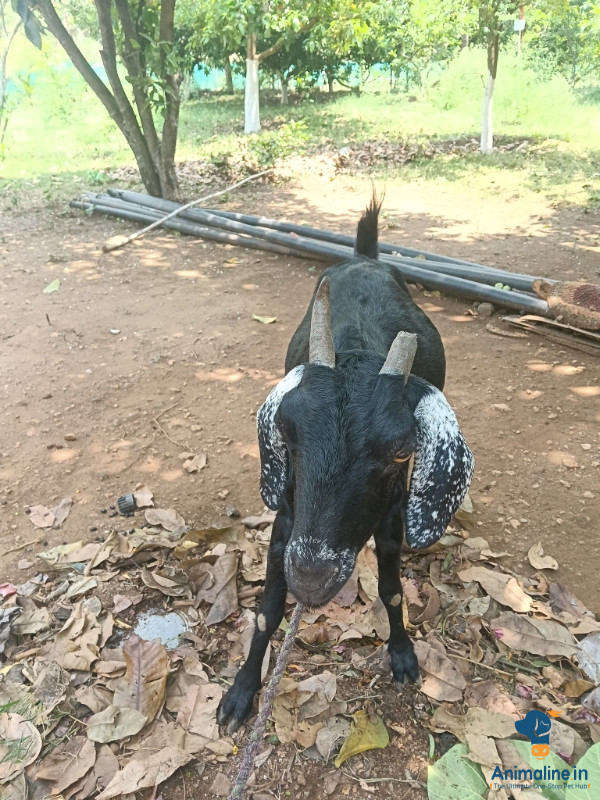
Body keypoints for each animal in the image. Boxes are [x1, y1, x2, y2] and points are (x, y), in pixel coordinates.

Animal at [217, 195, 474, 733]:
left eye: (402, 450)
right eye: (286, 432)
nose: (312, 579)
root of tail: (364, 254)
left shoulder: (393, 517)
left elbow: (392, 590)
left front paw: (402, 654)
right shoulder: (287, 521)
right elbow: (267, 611)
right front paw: (241, 692)